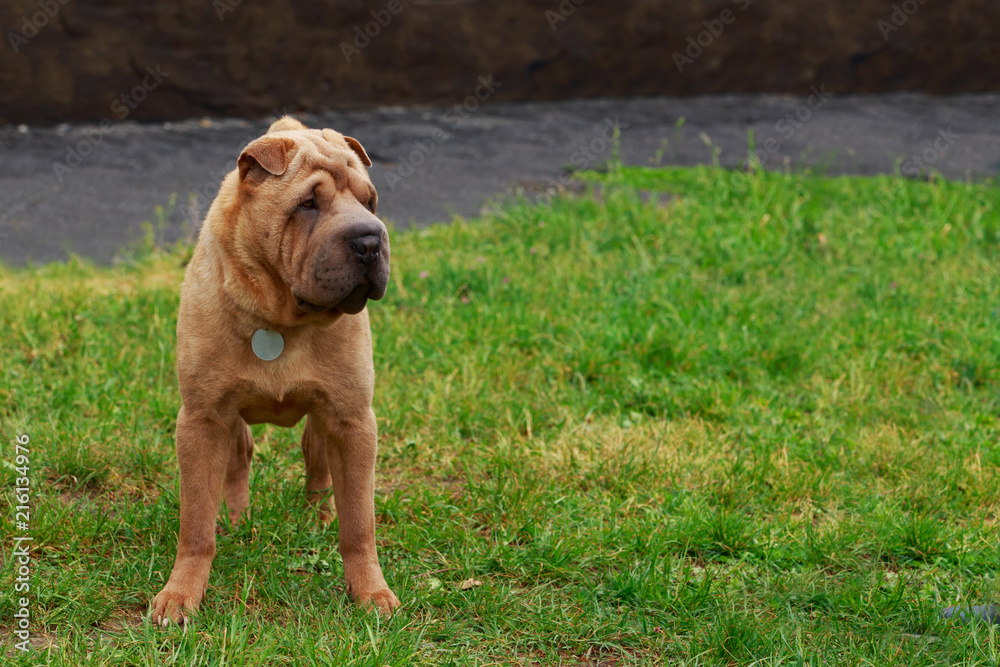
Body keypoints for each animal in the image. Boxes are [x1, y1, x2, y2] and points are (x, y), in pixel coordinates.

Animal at [150, 116, 400, 628]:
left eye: (370, 201)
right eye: (308, 204)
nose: (370, 240)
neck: (282, 319)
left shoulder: (353, 420)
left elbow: (360, 524)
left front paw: (370, 592)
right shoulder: (201, 420)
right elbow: (195, 525)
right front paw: (181, 595)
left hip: (326, 423)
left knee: (318, 466)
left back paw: (318, 517)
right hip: (228, 421)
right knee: (239, 462)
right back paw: (238, 520)